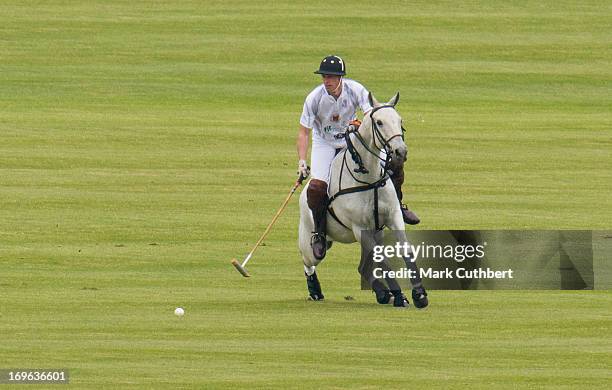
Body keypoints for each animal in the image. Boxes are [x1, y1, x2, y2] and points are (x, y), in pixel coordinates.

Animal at [298, 91, 428, 308]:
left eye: (400, 120)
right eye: (379, 122)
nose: (400, 152)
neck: (369, 178)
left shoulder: (393, 217)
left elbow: (406, 250)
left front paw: (419, 294)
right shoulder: (359, 228)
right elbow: (383, 258)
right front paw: (400, 296)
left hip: (375, 233)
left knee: (362, 267)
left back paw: (382, 293)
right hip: (311, 241)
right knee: (308, 260)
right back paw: (315, 290)